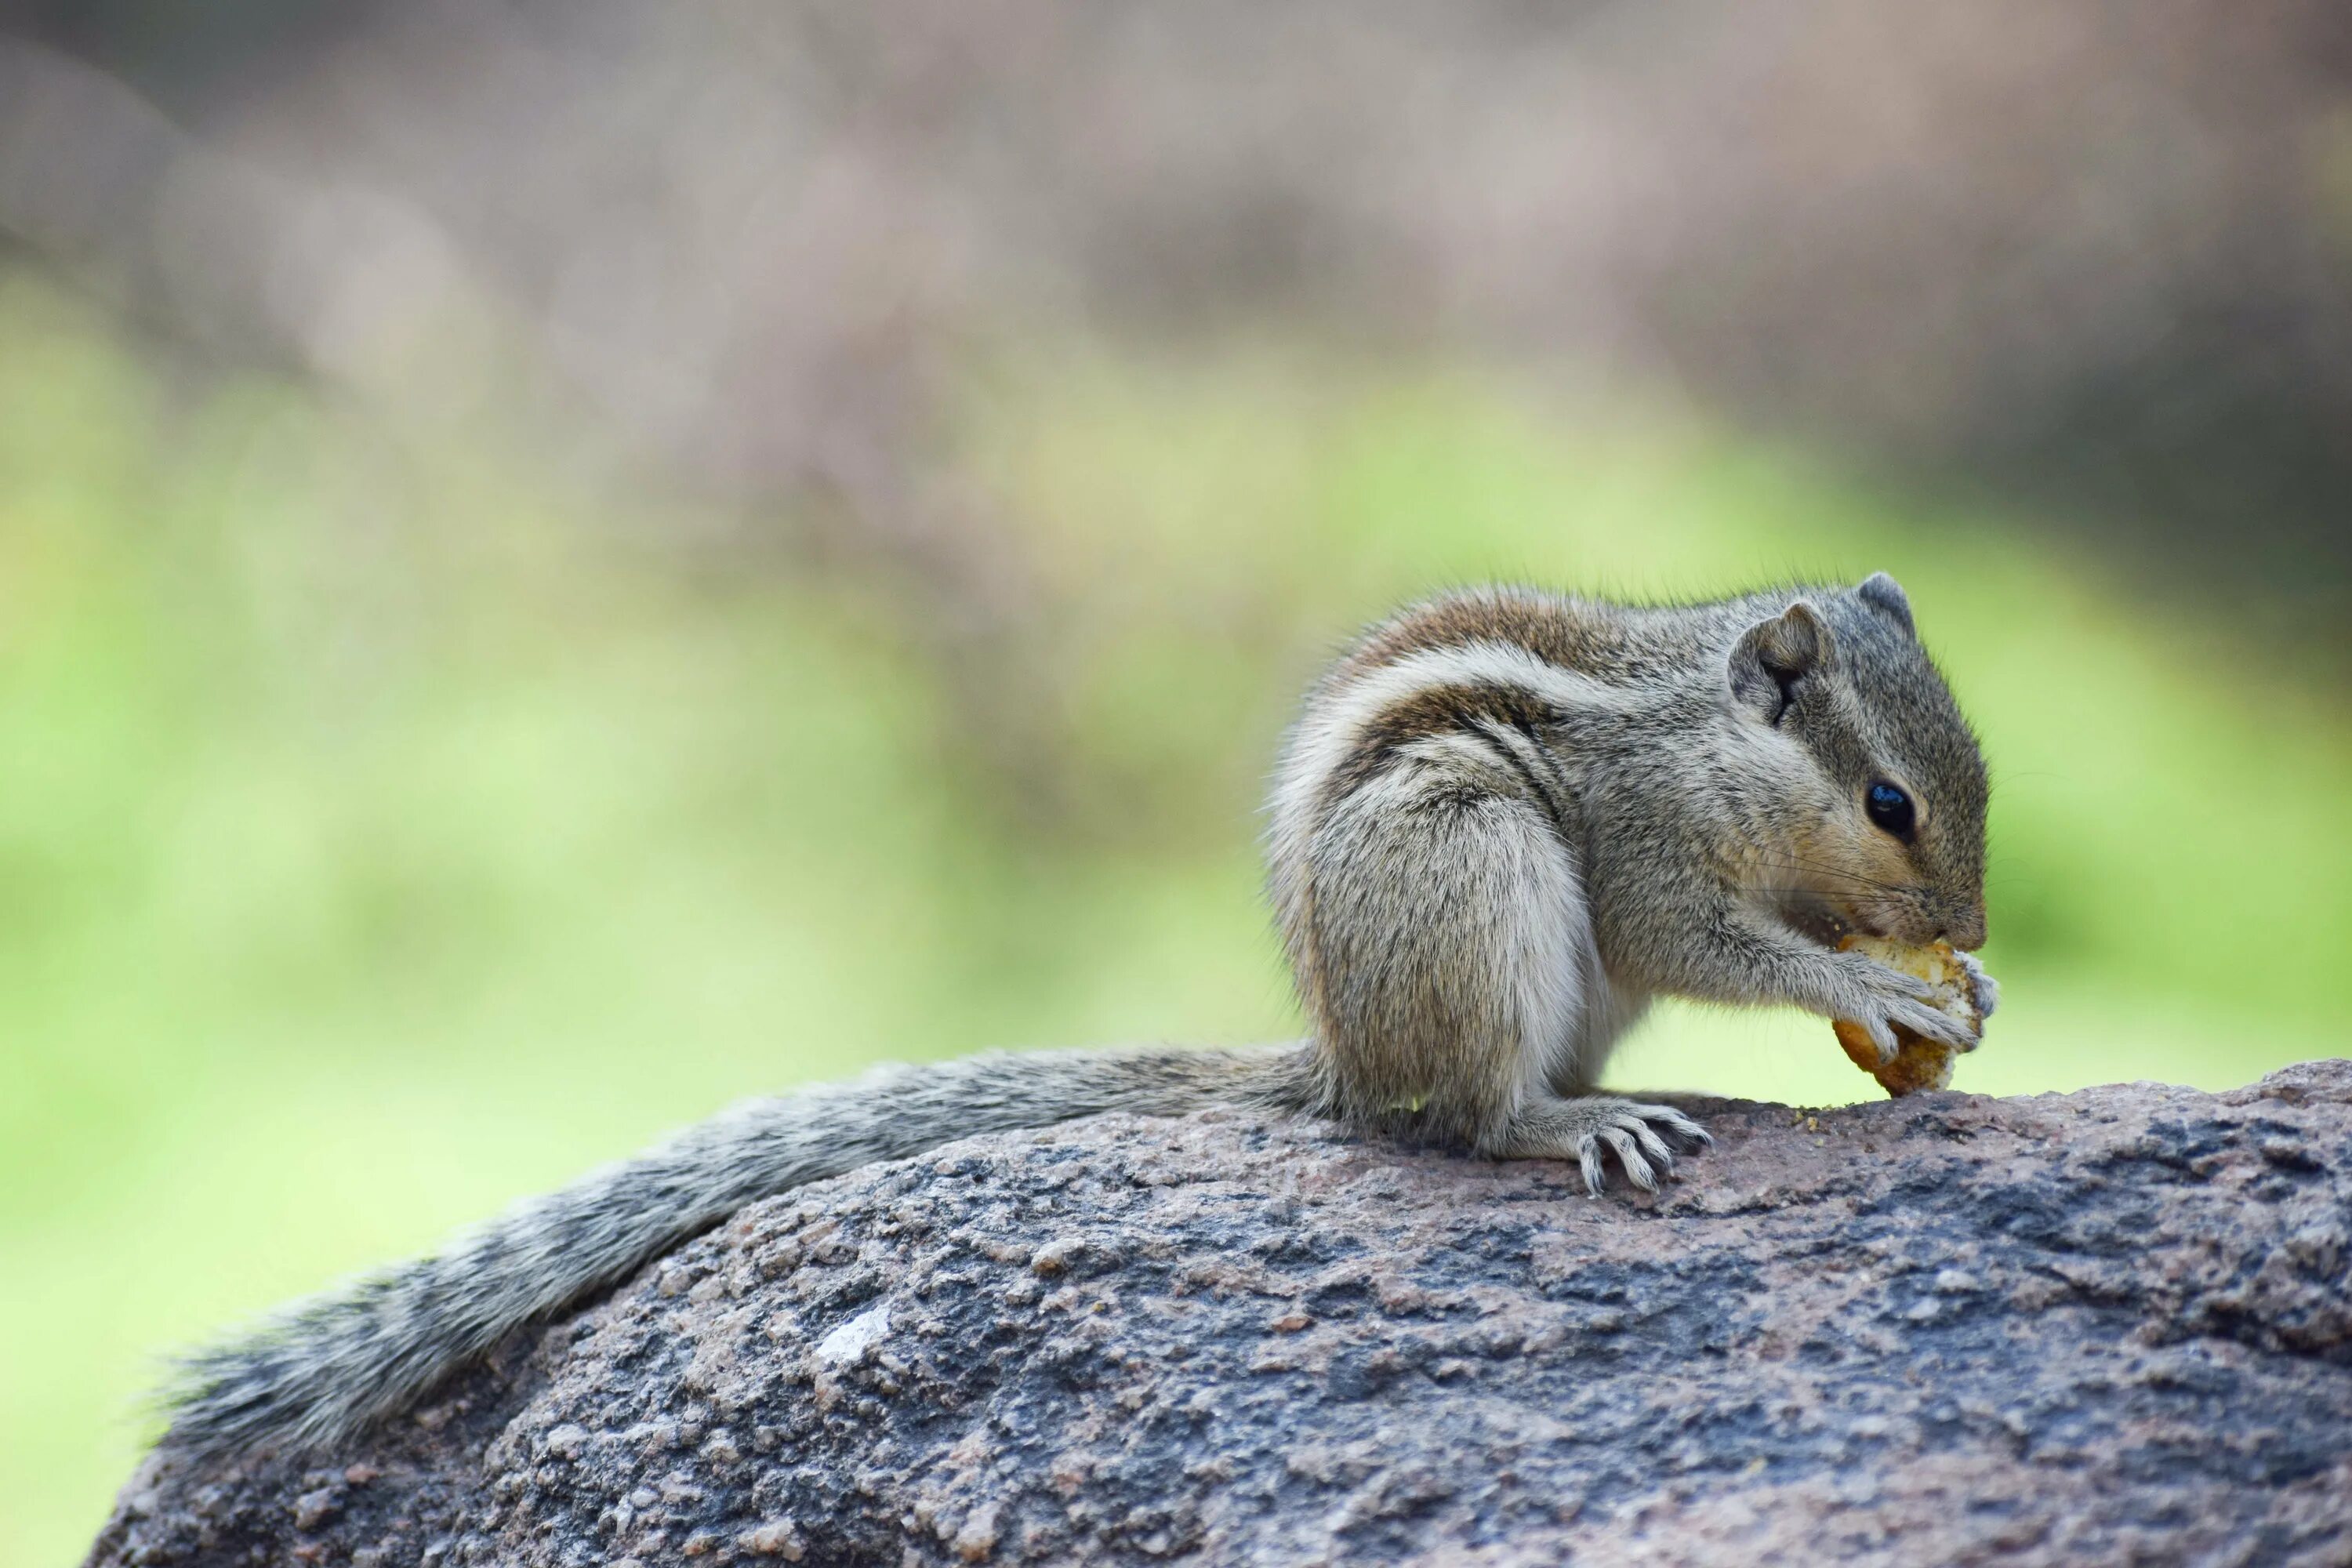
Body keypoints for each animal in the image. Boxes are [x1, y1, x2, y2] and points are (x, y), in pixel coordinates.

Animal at [161, 573, 2004, 1457]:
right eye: (1894, 802)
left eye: (1971, 775)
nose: (1974, 929)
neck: (1714, 741)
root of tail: (1342, 1055)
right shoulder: (1640, 858)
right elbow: (1721, 943)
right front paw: (1865, 977)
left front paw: (1950, 992)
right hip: (1467, 871)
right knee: (1465, 1121)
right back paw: (1570, 1120)